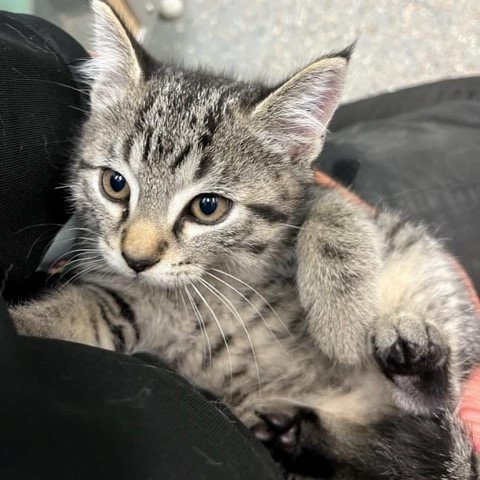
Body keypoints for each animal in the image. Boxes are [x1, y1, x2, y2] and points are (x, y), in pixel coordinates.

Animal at [8, 1, 480, 478]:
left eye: (208, 207)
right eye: (115, 184)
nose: (136, 258)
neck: (194, 292)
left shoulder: (329, 200)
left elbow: (327, 208)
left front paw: (341, 325)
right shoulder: (129, 302)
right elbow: (83, 312)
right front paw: (21, 327)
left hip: (425, 275)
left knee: (438, 401)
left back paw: (413, 356)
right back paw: (287, 431)